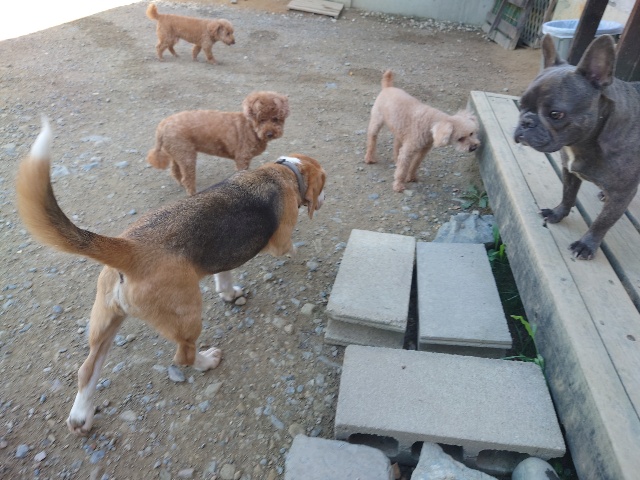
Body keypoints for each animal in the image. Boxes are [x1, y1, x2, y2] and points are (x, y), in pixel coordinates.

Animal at [16, 118, 326, 435]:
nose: (322, 200)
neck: (285, 171)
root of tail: (129, 247)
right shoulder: (279, 241)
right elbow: (286, 248)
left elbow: (224, 275)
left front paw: (229, 293)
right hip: (187, 317)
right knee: (184, 356)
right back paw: (207, 361)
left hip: (106, 321)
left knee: (87, 370)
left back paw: (81, 417)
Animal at [147, 91, 290, 195]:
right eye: (261, 119)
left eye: (275, 119)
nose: (270, 133)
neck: (250, 128)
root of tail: (162, 126)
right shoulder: (242, 158)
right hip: (186, 154)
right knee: (187, 178)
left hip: (177, 152)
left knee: (175, 170)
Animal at [514, 34, 640, 260]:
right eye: (521, 104)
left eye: (556, 114)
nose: (526, 122)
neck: (584, 144)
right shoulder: (569, 172)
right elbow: (568, 196)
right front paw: (557, 213)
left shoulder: (622, 194)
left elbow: (602, 222)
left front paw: (586, 245)